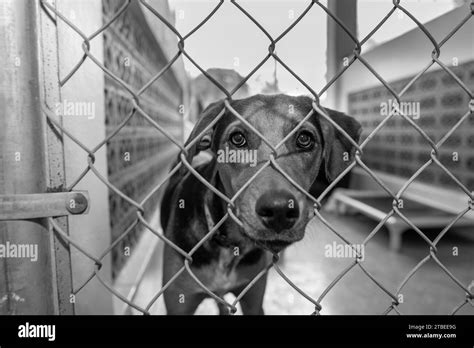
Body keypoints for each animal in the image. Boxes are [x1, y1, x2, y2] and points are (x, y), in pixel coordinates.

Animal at [161, 94, 362, 314]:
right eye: (237, 138)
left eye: (304, 139)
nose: (279, 210)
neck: (229, 246)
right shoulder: (179, 302)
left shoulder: (254, 299)